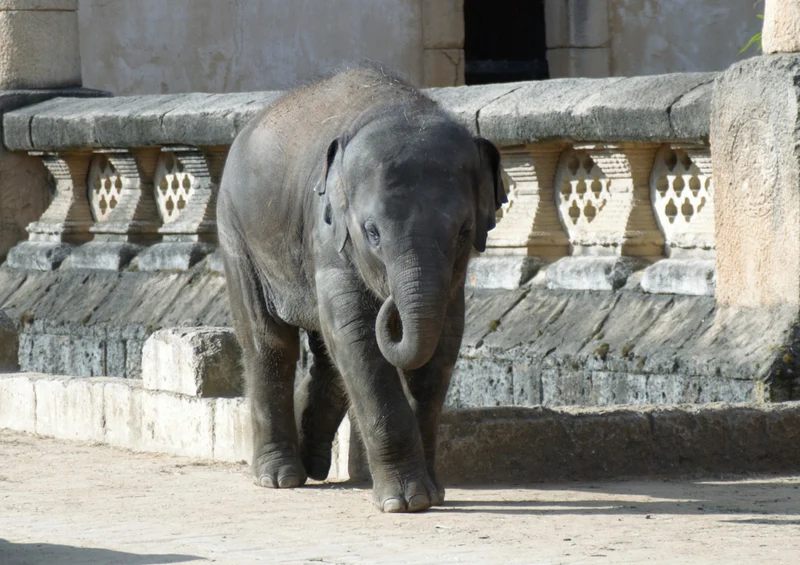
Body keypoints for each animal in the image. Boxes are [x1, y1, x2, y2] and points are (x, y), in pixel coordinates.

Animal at [217, 64, 506, 513]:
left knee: (327, 359)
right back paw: (279, 478)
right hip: (236, 231)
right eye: (372, 233)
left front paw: (433, 494)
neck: (394, 107)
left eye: (463, 232)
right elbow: (356, 335)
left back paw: (314, 464)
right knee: (269, 343)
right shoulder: (327, 233)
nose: (390, 303)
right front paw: (404, 502)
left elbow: (442, 342)